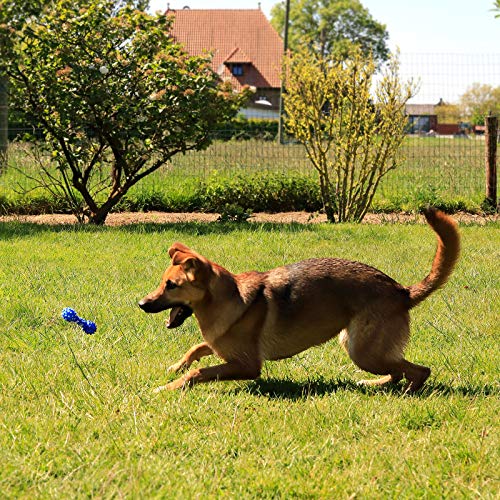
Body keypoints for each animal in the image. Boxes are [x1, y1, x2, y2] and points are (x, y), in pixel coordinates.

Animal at [139, 208, 460, 393]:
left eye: (171, 285)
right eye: (162, 282)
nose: (141, 304)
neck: (228, 299)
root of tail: (402, 291)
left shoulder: (246, 364)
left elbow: (199, 371)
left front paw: (170, 387)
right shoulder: (220, 345)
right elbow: (195, 349)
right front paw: (175, 368)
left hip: (363, 351)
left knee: (419, 371)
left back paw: (406, 392)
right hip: (362, 348)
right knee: (396, 370)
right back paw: (374, 384)